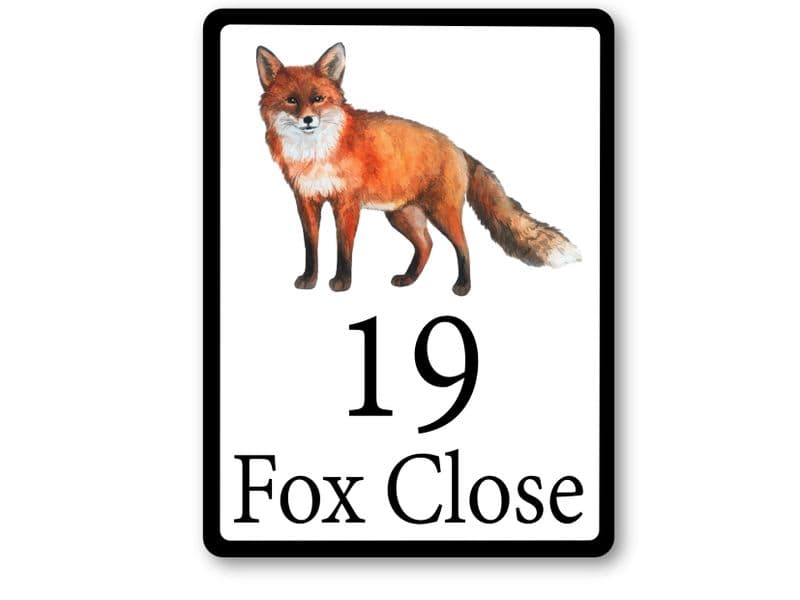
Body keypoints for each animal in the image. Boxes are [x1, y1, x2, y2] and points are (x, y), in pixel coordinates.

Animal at [256, 42, 581, 296]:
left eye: (318, 99)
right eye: (291, 100)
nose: (308, 120)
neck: (314, 153)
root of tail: (457, 147)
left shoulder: (346, 204)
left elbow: (343, 247)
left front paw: (342, 282)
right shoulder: (305, 200)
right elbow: (311, 246)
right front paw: (310, 279)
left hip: (442, 212)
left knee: (463, 246)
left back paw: (463, 287)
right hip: (403, 216)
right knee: (427, 245)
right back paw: (409, 279)